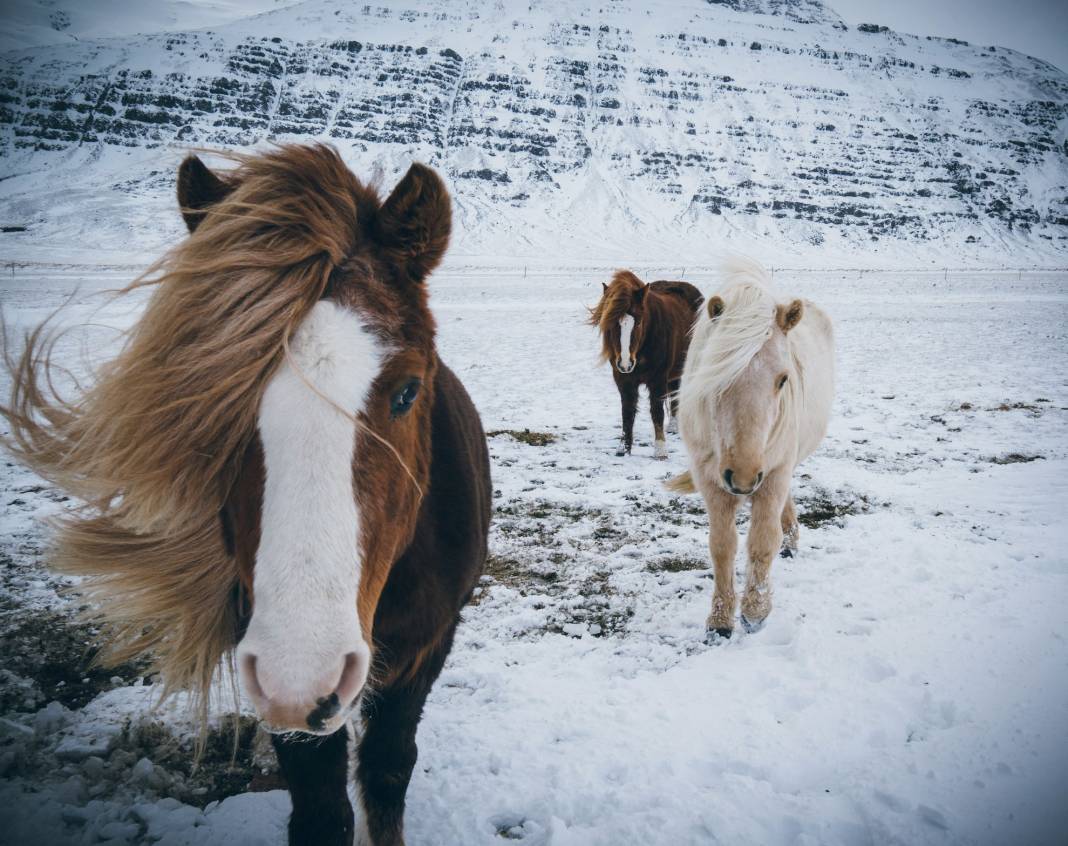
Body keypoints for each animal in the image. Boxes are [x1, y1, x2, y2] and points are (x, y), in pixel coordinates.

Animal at [0, 145, 491, 846]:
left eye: (407, 390)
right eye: (220, 399)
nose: (302, 673)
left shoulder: (428, 644)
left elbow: (388, 771)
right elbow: (321, 809)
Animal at [589, 271, 704, 459]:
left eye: (638, 322)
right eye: (612, 324)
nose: (626, 363)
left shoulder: (657, 380)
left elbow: (657, 412)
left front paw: (660, 450)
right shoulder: (623, 380)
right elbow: (627, 412)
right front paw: (623, 448)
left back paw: (673, 427)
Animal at [666, 260, 833, 636]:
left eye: (783, 379)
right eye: (717, 375)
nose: (742, 477)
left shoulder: (773, 474)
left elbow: (762, 541)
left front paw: (755, 612)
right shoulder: (710, 481)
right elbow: (722, 546)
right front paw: (720, 621)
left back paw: (791, 542)